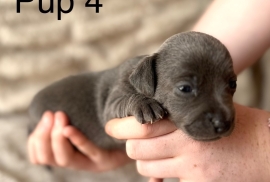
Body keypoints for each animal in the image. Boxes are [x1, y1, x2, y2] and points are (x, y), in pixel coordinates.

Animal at [28, 32, 237, 149]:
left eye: (233, 84)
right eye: (185, 88)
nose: (223, 123)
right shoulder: (111, 104)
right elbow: (125, 100)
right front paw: (145, 104)